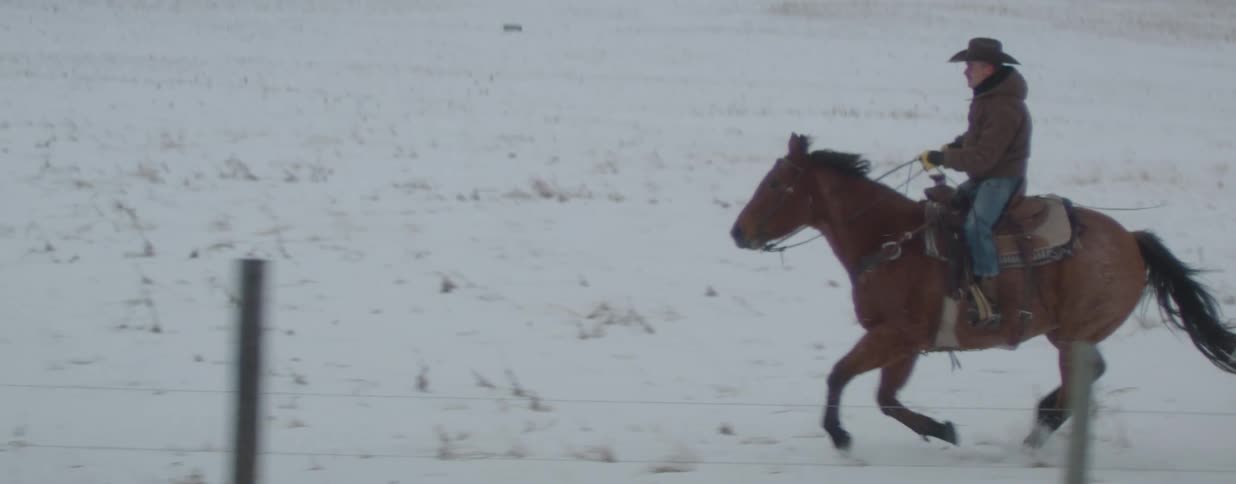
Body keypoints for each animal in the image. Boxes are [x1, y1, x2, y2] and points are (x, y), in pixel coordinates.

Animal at [729, 133, 1236, 451]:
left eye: (775, 183)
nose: (738, 232)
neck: (890, 242)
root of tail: (1132, 239)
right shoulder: (904, 345)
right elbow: (887, 399)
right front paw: (941, 429)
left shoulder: (894, 335)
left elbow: (839, 375)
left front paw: (839, 435)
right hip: (1068, 334)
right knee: (1089, 374)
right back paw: (1040, 420)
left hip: (1073, 334)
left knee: (1081, 379)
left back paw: (1037, 432)